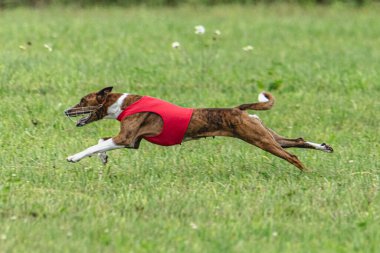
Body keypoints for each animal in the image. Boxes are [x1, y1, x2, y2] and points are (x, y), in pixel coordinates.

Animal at [64, 86, 332, 171]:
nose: (66, 111)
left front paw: (73, 157)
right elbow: (101, 142)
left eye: (82, 100)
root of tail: (238, 109)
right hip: (266, 135)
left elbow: (92, 145)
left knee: (292, 155)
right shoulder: (130, 140)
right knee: (298, 141)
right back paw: (324, 147)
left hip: (261, 140)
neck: (122, 103)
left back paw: (306, 173)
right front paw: (103, 158)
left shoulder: (127, 139)